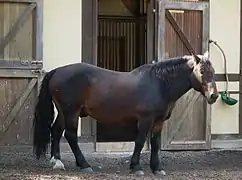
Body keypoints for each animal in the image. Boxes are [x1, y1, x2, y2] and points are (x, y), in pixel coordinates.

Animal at [32, 51, 219, 177]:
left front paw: (157, 168)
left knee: (56, 131)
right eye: (201, 71)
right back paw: (84, 164)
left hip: (64, 112)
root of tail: (57, 71)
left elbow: (155, 143)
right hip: (71, 111)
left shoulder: (158, 121)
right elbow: (140, 142)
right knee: (70, 136)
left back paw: (57, 161)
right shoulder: (145, 119)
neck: (159, 84)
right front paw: (136, 167)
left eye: (214, 71)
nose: (214, 96)